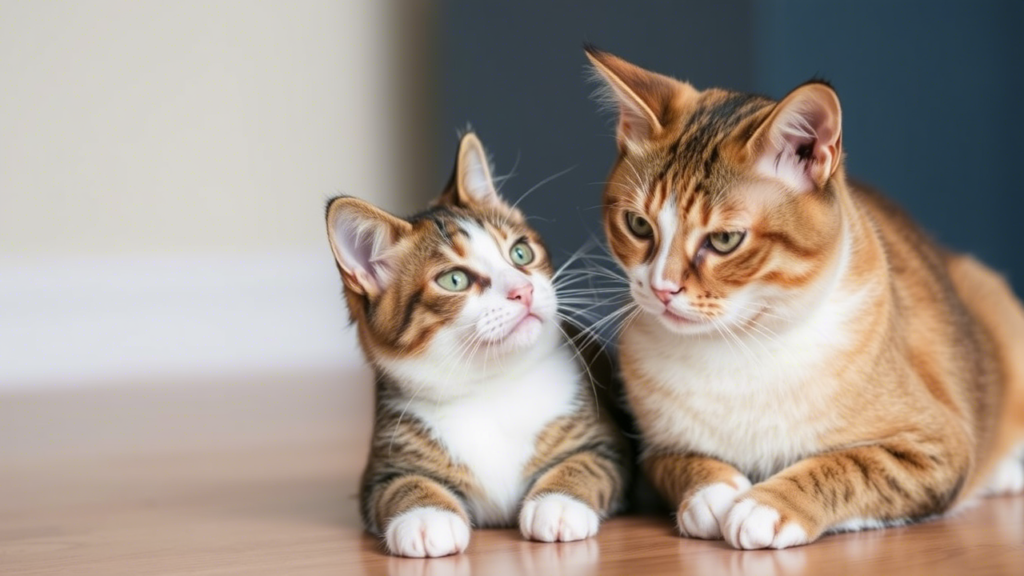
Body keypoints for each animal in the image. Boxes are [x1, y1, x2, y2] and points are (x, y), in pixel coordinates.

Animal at [327, 132, 630, 553]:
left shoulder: (607, 443)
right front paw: (425, 517)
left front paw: (558, 504)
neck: (493, 385)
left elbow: (589, 461)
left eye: (521, 252)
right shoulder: (382, 463)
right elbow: (398, 485)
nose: (523, 290)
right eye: (454, 279)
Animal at [585, 48, 1024, 545]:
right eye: (638, 225)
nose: (662, 288)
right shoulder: (654, 449)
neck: (742, 345)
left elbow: (849, 464)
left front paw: (766, 505)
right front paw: (713, 493)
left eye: (724, 240)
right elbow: (683, 463)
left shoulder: (937, 447)